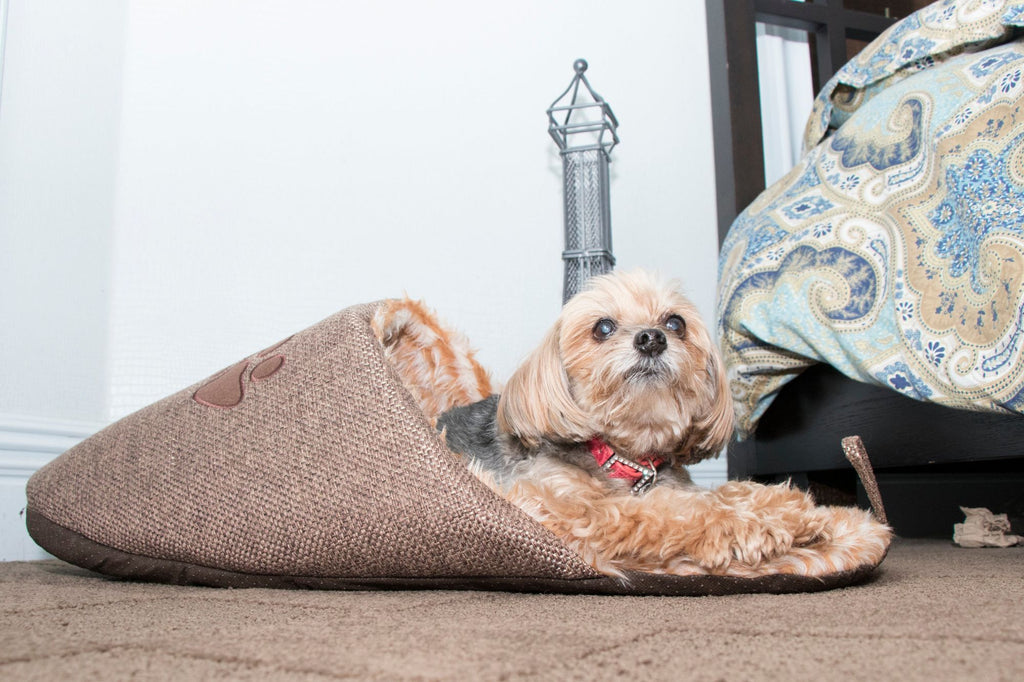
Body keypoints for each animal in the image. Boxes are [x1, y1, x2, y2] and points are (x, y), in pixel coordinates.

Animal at [436, 268, 892, 577]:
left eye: (676, 322)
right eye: (603, 327)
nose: (652, 338)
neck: (626, 457)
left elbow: (722, 492)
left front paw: (792, 507)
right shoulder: (574, 509)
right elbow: (670, 515)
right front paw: (754, 528)